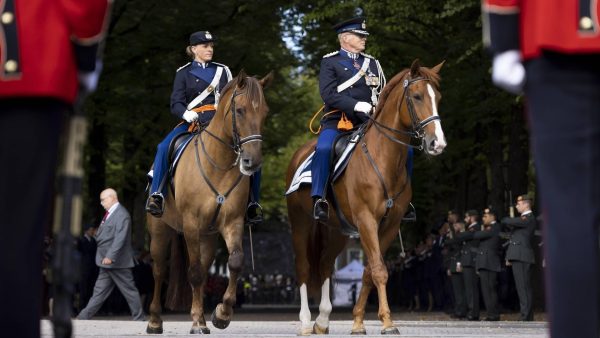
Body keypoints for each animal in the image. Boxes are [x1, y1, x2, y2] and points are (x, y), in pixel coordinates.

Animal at [147, 70, 272, 334]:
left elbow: (235, 262)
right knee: (160, 269)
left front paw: (221, 314)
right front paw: (196, 321)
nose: (253, 161)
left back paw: (203, 318)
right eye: (240, 110)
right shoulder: (191, 224)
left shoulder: (232, 222)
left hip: (208, 236)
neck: (219, 163)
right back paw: (154, 320)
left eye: (265, 112)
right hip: (160, 230)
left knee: (203, 270)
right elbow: (193, 273)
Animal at [286, 60, 446, 336]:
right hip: (301, 224)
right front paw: (388, 323)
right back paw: (306, 321)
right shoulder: (366, 220)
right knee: (304, 267)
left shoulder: (389, 225)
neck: (383, 158)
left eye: (438, 97)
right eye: (417, 96)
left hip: (337, 230)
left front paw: (359, 321)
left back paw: (323, 320)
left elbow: (370, 271)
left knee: (326, 265)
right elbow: (380, 270)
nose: (438, 143)